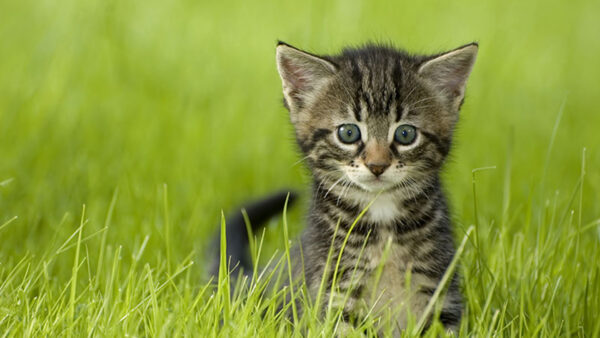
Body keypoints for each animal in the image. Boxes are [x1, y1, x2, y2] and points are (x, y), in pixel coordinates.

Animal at [211, 41, 478, 332]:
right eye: (348, 133)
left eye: (406, 134)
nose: (377, 165)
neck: (382, 219)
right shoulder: (334, 295)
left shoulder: (439, 292)